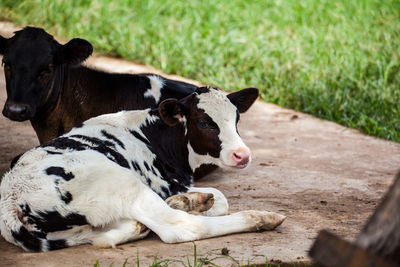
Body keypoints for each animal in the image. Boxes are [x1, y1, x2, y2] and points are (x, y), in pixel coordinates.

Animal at [0, 87, 284, 252]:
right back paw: (261, 218)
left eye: (236, 120)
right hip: (121, 182)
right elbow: (220, 199)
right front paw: (188, 201)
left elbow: (219, 197)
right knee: (180, 227)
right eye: (205, 122)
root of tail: (11, 201)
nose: (242, 154)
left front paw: (185, 200)